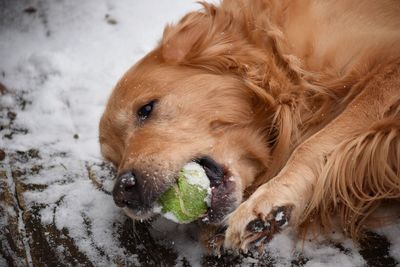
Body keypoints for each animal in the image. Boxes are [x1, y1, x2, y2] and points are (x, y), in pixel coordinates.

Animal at [99, 0, 400, 253]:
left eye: (146, 109)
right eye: (113, 162)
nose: (122, 191)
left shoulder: (388, 71)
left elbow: (313, 143)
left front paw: (268, 201)